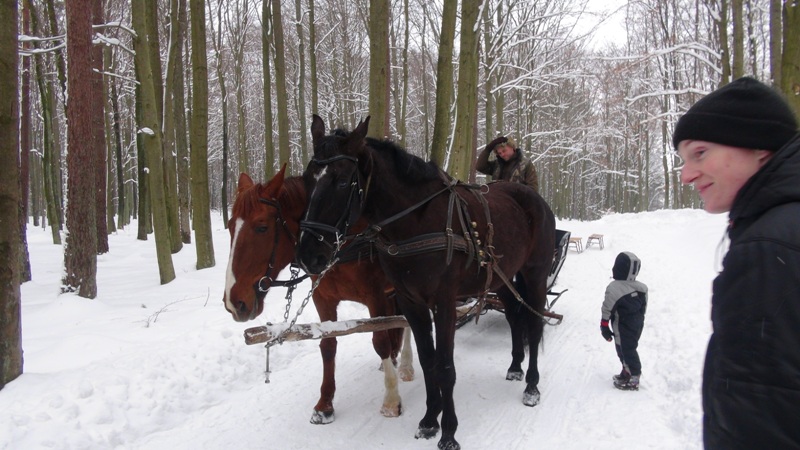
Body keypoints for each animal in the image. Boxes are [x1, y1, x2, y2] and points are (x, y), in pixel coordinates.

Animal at [223, 163, 416, 424]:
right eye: (230, 226)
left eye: (262, 227)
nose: (234, 302)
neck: (338, 244)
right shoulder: (323, 298)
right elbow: (328, 344)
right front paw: (325, 404)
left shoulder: (375, 297)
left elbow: (380, 341)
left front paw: (391, 399)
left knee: (407, 323)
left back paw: (405, 365)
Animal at [296, 117, 552, 450]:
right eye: (307, 179)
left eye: (341, 181)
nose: (307, 254)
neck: (417, 222)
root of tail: (530, 196)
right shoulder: (411, 302)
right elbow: (428, 360)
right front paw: (430, 421)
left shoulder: (443, 304)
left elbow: (445, 366)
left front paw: (449, 433)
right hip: (502, 278)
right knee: (514, 317)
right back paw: (515, 367)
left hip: (535, 275)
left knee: (533, 325)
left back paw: (532, 386)